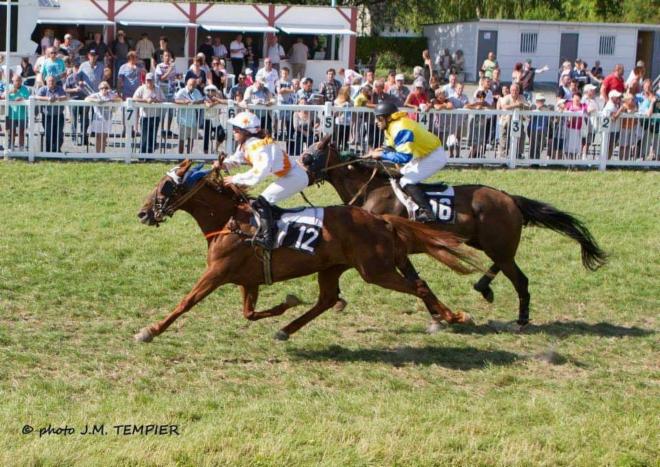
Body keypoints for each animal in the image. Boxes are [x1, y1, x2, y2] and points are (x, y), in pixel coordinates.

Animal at [135, 160, 482, 343]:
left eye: (166, 186)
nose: (143, 213)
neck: (229, 220)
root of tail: (379, 219)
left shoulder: (217, 272)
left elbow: (186, 302)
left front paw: (150, 330)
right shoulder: (248, 279)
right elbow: (249, 313)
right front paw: (286, 303)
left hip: (375, 270)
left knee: (418, 285)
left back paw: (453, 316)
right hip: (332, 268)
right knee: (326, 300)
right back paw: (286, 329)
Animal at [301, 136, 607, 327]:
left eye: (310, 155)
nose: (300, 167)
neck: (371, 190)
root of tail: (510, 198)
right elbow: (415, 280)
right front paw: (438, 314)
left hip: (496, 243)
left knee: (519, 278)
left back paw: (520, 318)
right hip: (487, 242)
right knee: (504, 265)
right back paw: (484, 288)